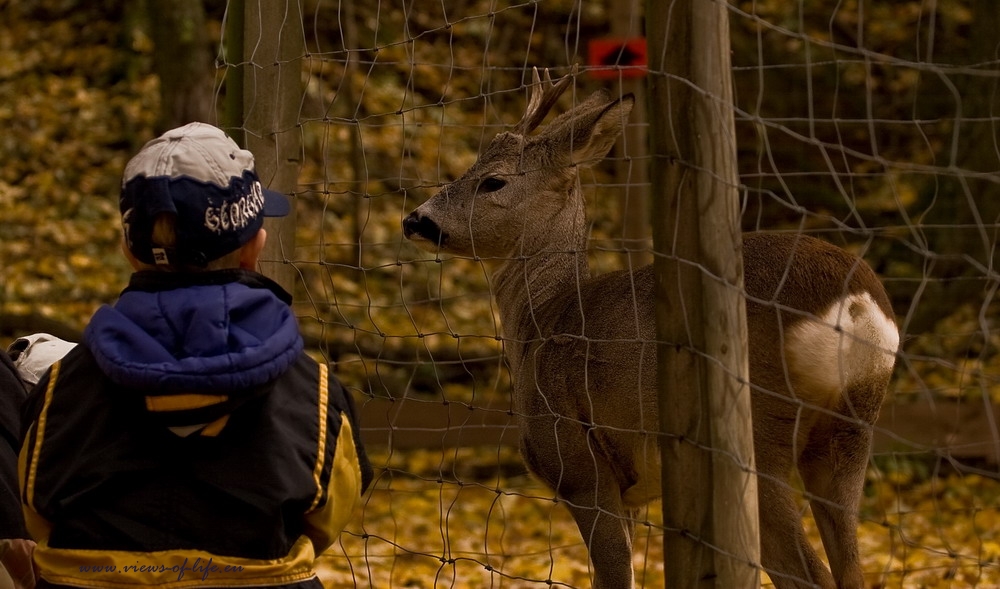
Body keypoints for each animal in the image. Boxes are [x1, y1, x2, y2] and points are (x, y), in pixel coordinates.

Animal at [402, 70, 904, 588]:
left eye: (493, 181)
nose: (415, 219)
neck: (545, 320)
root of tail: (856, 304)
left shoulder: (579, 467)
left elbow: (614, 576)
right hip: (850, 432)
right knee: (850, 565)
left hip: (758, 438)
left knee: (808, 572)